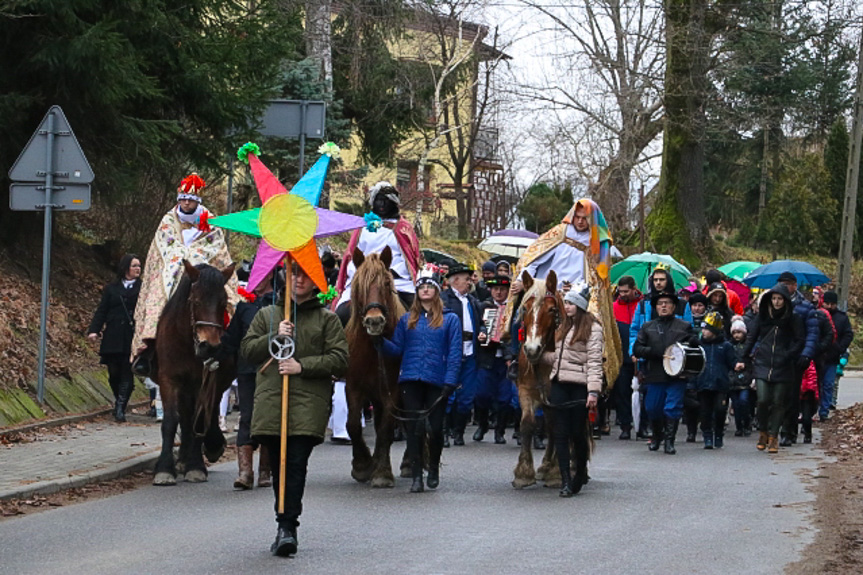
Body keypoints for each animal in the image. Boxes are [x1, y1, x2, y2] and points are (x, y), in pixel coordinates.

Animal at [150, 260, 235, 486]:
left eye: (223, 303)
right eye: (195, 301)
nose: (210, 347)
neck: (186, 342)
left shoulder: (201, 381)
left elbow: (199, 419)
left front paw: (196, 467)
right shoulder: (169, 380)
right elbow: (171, 421)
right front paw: (165, 469)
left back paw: (211, 445)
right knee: (186, 419)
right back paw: (182, 460)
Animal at [344, 245, 408, 488]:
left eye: (387, 285)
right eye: (359, 285)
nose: (374, 321)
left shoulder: (393, 390)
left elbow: (386, 429)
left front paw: (381, 472)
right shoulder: (353, 386)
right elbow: (353, 425)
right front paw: (363, 465)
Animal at [512, 272, 568, 488]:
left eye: (551, 309)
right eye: (525, 308)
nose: (532, 349)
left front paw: (556, 472)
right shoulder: (525, 391)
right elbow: (527, 424)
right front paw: (523, 472)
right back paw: (545, 466)